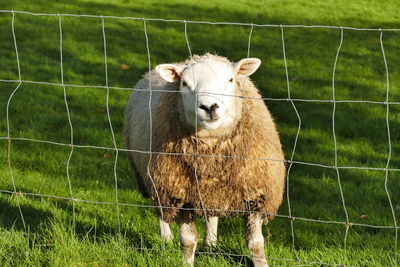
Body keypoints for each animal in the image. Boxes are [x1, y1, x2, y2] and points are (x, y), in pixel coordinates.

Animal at [123, 53, 286, 266]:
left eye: (230, 80)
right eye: (184, 83)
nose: (209, 107)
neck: (212, 155)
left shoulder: (256, 195)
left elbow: (256, 244)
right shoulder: (180, 195)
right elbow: (188, 241)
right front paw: (186, 262)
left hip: (211, 192)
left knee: (212, 216)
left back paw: (211, 245)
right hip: (153, 181)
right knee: (161, 212)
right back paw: (166, 237)